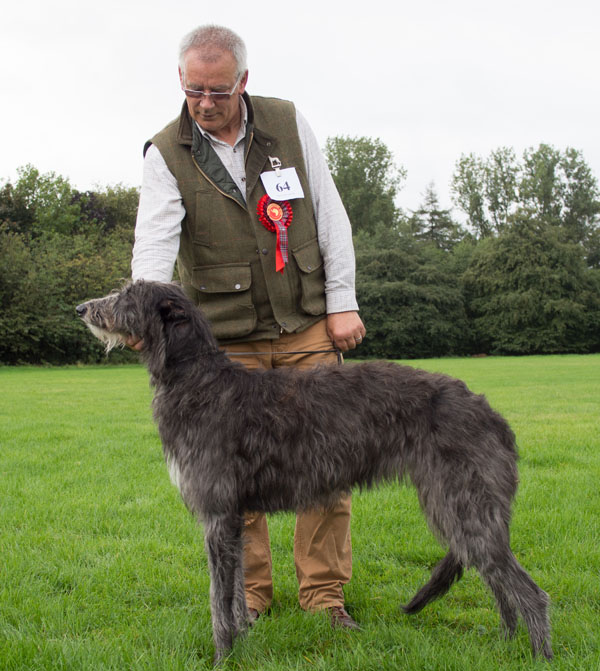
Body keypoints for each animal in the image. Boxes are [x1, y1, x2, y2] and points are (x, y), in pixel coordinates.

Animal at [77, 280, 556, 664]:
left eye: (126, 295)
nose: (80, 308)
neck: (200, 381)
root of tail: (493, 415)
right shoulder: (234, 518)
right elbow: (236, 597)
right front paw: (243, 644)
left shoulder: (216, 515)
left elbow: (218, 601)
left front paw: (221, 658)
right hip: (460, 508)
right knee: (497, 581)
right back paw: (503, 643)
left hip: (463, 504)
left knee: (528, 591)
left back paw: (539, 656)